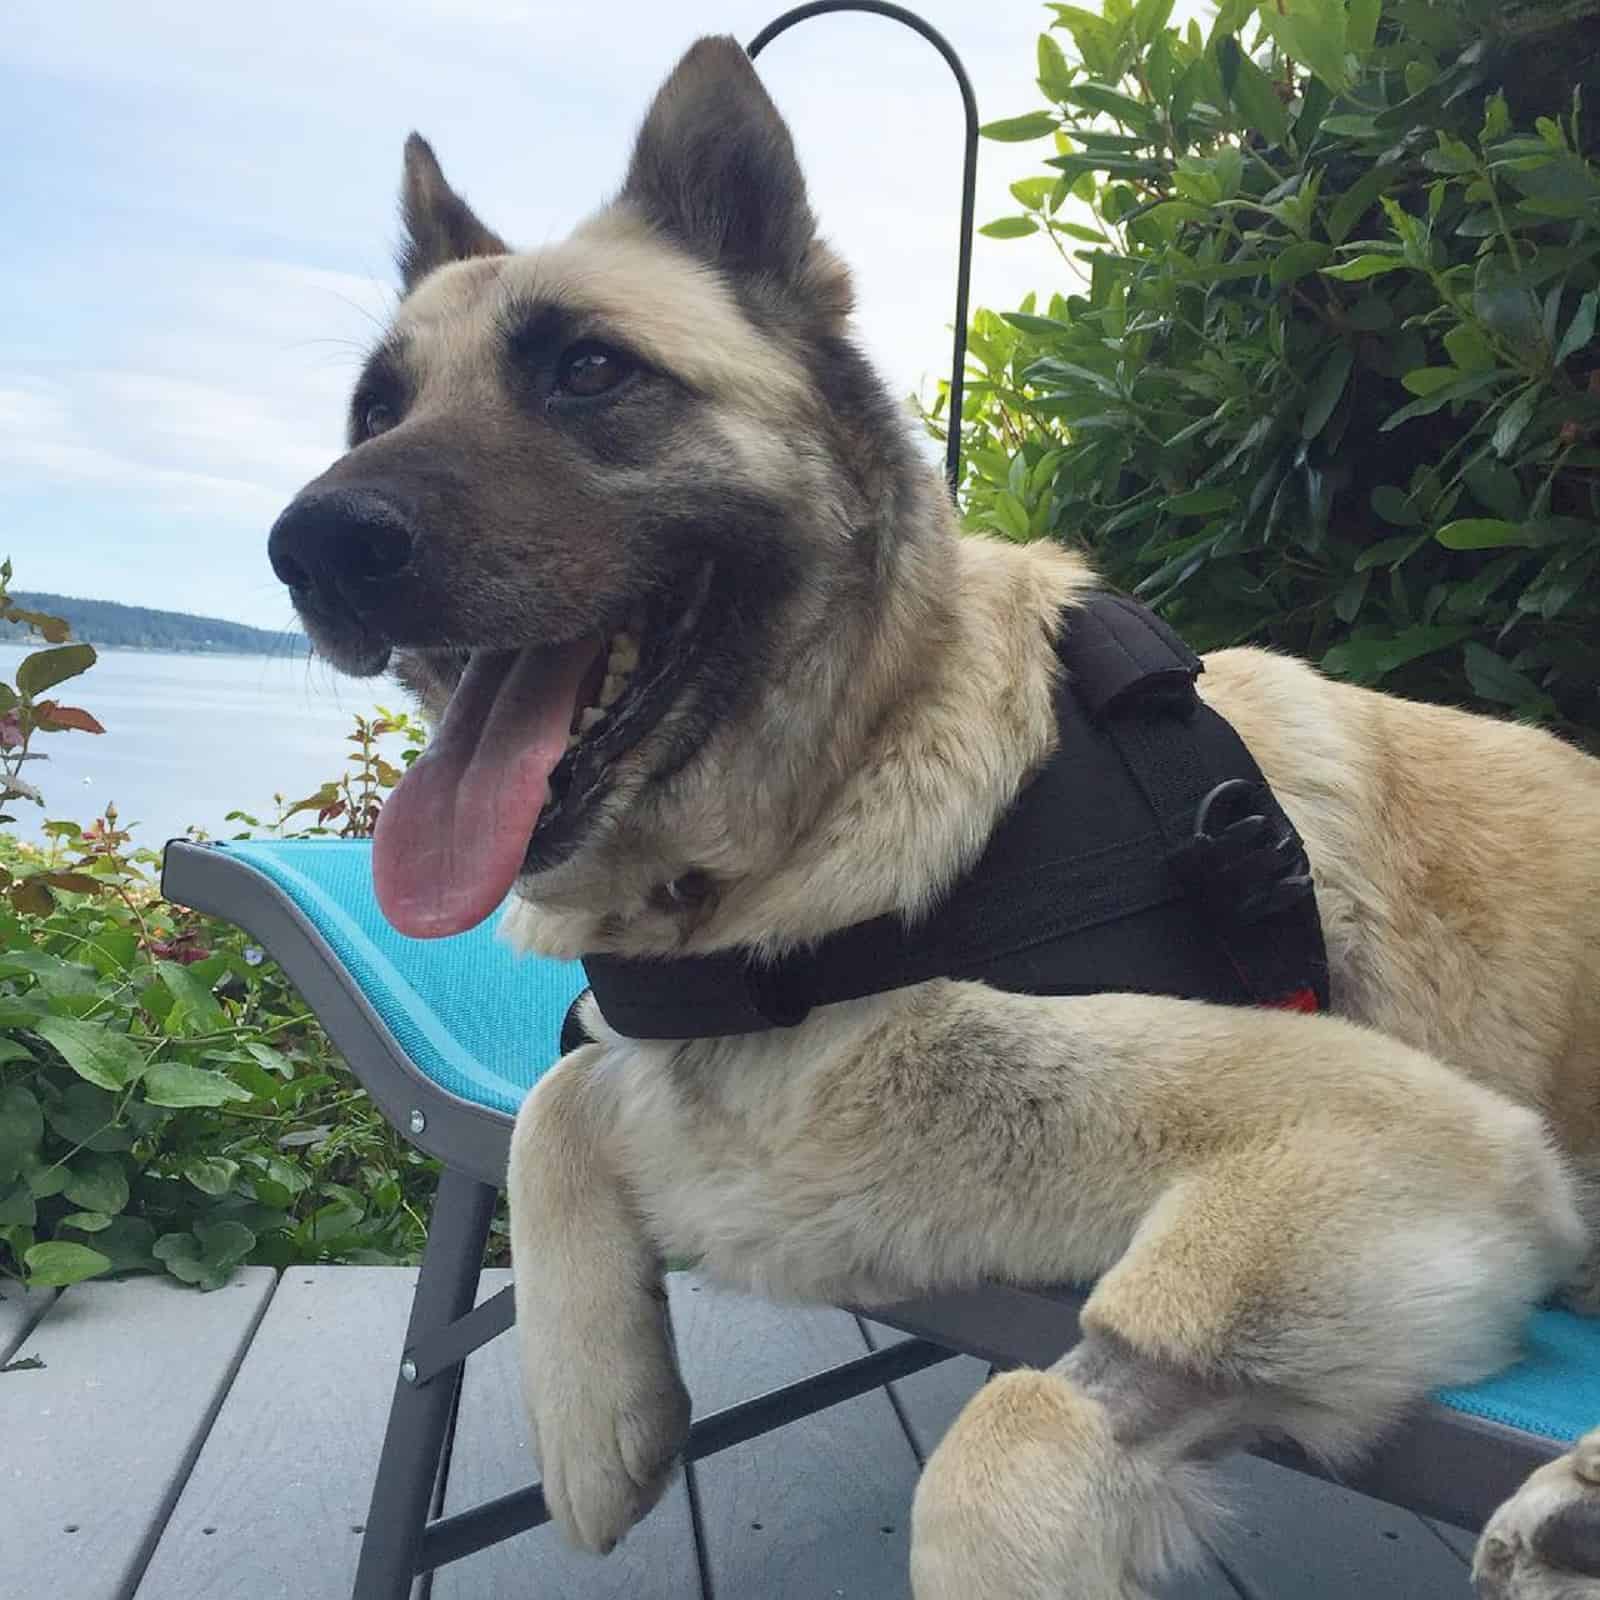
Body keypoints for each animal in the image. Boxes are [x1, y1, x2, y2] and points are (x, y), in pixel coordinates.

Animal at [268, 37, 1600, 1600]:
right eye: (376, 411)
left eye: (589, 370)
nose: (312, 547)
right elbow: (558, 1095)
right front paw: (590, 1402)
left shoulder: (1402, 1139)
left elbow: (1013, 1424)